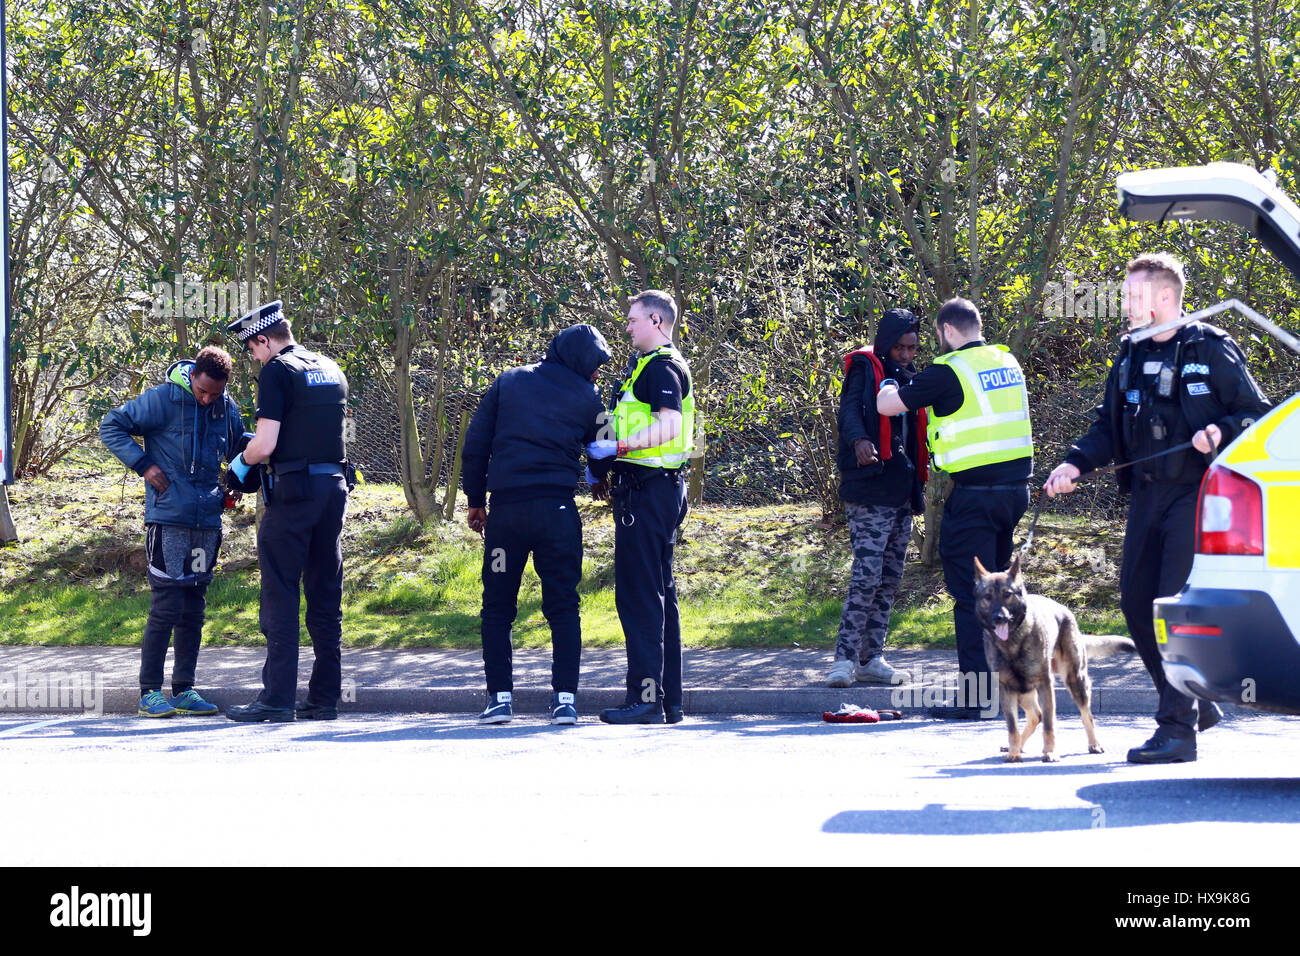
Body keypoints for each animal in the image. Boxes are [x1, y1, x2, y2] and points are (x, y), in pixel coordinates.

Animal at [977, 554, 1133, 764]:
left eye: (1007, 594)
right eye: (988, 597)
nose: (998, 617)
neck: (1013, 642)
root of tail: (1065, 610)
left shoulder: (1045, 685)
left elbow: (1050, 725)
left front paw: (1050, 752)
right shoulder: (1007, 688)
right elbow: (1012, 726)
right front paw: (1014, 752)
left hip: (1075, 681)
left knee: (1086, 715)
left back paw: (1094, 744)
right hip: (1023, 691)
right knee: (1035, 716)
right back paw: (1017, 747)